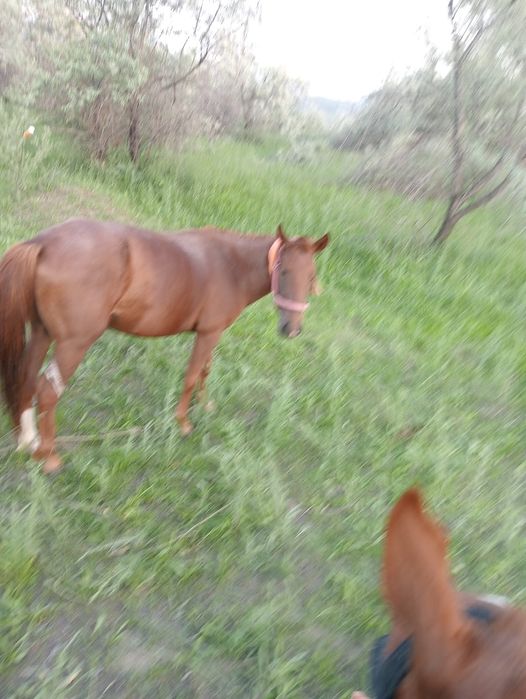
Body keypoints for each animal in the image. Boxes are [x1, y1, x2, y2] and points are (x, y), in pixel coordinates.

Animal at [0, 219, 329, 474]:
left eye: (311, 276)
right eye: (283, 271)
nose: (291, 329)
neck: (230, 265)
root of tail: (43, 243)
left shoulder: (213, 333)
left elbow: (205, 370)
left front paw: (205, 405)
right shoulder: (208, 333)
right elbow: (192, 375)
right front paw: (182, 423)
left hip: (42, 332)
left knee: (26, 378)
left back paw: (28, 441)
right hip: (73, 344)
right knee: (47, 392)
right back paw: (49, 457)